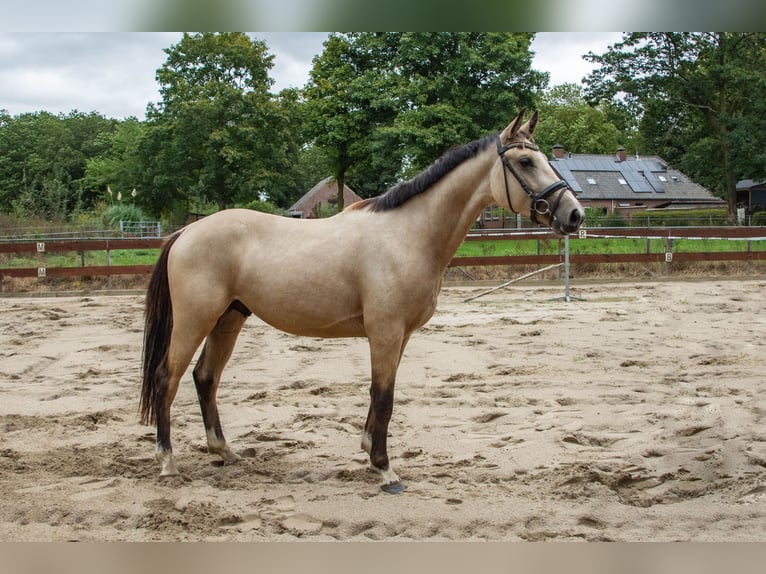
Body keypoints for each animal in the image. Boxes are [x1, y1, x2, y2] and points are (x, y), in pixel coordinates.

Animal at [141, 111, 584, 496]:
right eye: (525, 161)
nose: (575, 215)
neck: (408, 235)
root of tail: (186, 232)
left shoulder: (400, 336)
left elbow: (381, 395)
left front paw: (370, 451)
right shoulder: (385, 332)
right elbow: (383, 395)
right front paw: (385, 469)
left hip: (228, 319)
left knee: (205, 378)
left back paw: (224, 452)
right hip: (195, 321)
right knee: (167, 378)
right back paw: (167, 462)